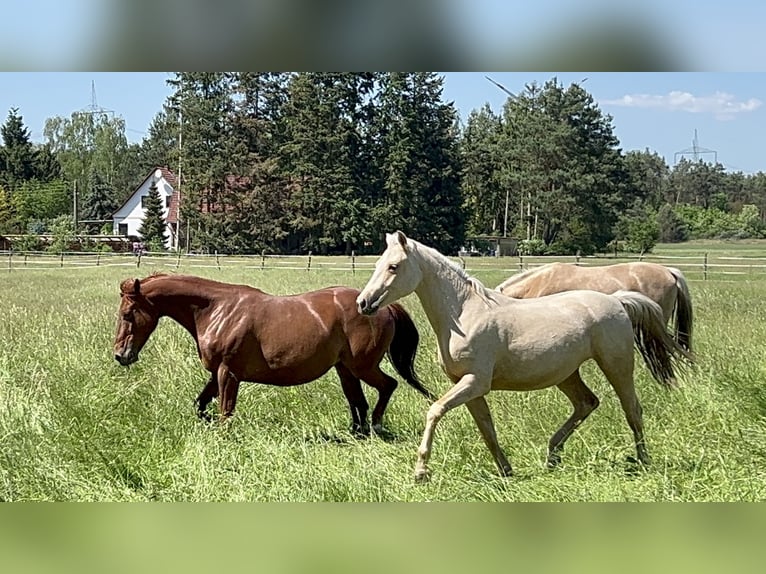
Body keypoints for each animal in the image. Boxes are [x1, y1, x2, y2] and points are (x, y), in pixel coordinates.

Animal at [113, 273, 434, 436]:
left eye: (128, 314)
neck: (217, 310)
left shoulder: (228, 374)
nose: (120, 355)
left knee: (387, 387)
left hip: (363, 367)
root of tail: (381, 306)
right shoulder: (217, 374)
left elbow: (225, 412)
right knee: (358, 403)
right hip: (345, 370)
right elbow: (201, 405)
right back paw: (357, 433)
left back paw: (376, 427)